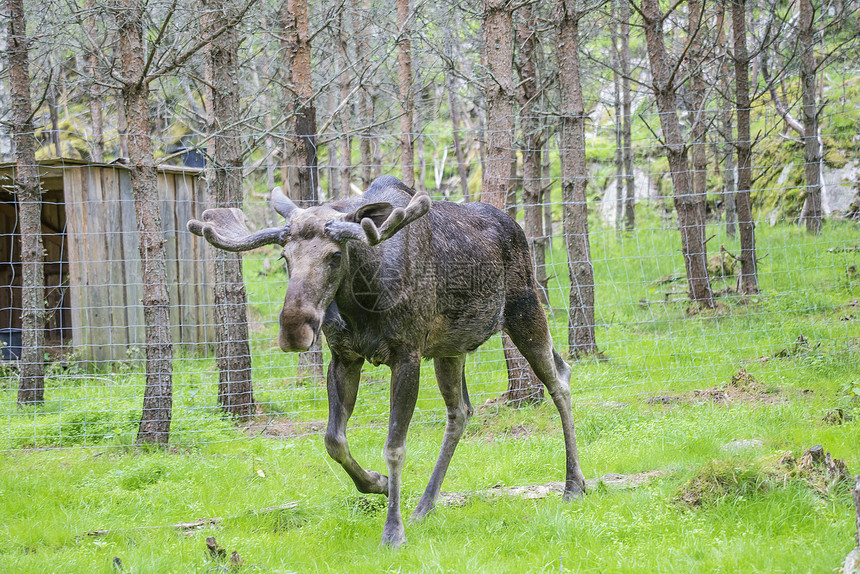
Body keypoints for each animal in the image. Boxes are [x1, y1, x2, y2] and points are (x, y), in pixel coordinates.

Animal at [188, 178, 588, 552]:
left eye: (335, 256)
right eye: (285, 257)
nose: (294, 329)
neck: (363, 299)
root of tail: (515, 226)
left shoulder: (406, 355)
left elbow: (394, 446)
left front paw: (392, 532)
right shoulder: (344, 357)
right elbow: (333, 440)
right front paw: (376, 483)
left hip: (525, 309)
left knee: (560, 380)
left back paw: (574, 484)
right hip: (450, 347)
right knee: (461, 411)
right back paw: (426, 504)